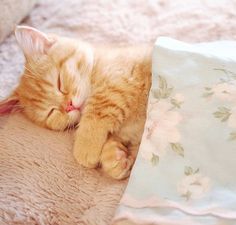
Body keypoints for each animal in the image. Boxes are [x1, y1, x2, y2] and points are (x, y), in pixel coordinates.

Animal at [0, 25, 152, 179]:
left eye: (59, 83)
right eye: (51, 112)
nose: (69, 106)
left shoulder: (121, 76)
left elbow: (99, 105)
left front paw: (85, 147)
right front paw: (116, 157)